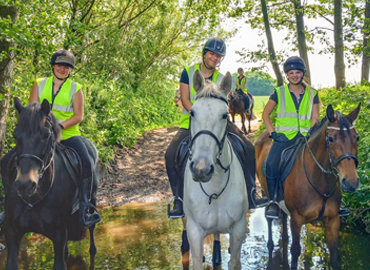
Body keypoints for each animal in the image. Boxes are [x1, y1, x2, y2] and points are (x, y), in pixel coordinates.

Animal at [1, 98, 99, 270]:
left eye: (46, 135)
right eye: (15, 135)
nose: (25, 185)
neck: (34, 199)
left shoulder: (58, 233)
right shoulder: (12, 232)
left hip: (92, 199)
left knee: (91, 228)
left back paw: (93, 249)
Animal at [183, 70, 249, 270]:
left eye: (225, 115)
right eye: (192, 112)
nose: (201, 169)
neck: (215, 187)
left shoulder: (238, 230)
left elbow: (234, 261)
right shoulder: (194, 231)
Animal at [256, 103, 360, 270]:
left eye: (357, 137)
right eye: (331, 139)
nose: (351, 182)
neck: (320, 181)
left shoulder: (333, 220)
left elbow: (335, 254)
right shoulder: (297, 220)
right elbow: (295, 253)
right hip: (268, 197)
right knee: (270, 221)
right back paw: (271, 243)